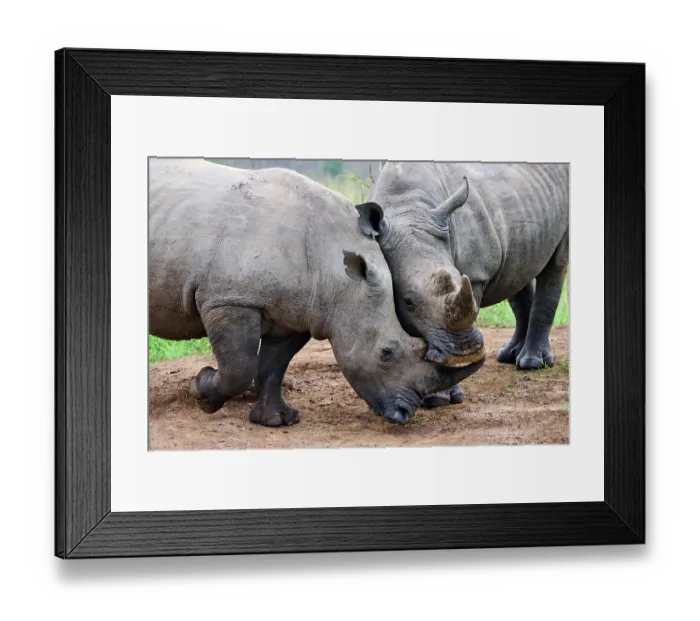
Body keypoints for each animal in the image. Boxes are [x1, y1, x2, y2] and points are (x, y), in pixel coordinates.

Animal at [148, 159, 484, 427]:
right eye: (386, 353)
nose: (405, 414)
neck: (335, 271)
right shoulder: (229, 299)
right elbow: (239, 367)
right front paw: (202, 392)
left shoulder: (300, 312)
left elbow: (272, 366)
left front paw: (276, 421)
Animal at [356, 162, 569, 407]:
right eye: (408, 301)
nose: (463, 351)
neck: (407, 208)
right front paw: (434, 396)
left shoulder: (475, 274)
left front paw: (440, 398)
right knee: (518, 272)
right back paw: (510, 356)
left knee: (556, 264)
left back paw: (532, 364)